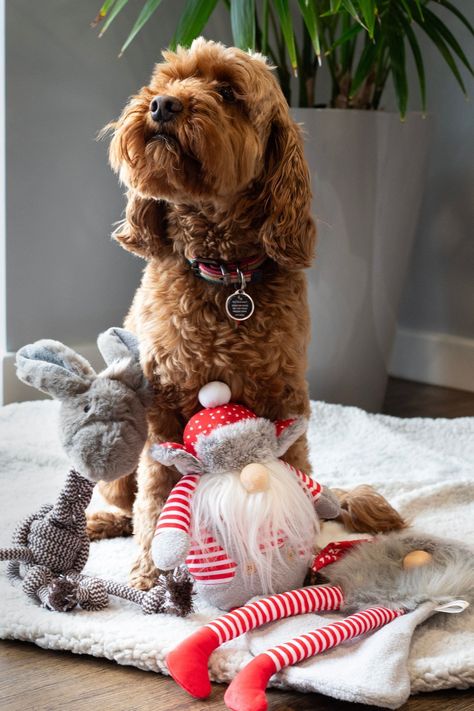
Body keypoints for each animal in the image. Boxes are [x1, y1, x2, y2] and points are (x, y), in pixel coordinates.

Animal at [89, 37, 318, 588]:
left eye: (228, 92)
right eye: (166, 82)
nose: (162, 105)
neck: (225, 273)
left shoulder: (286, 395)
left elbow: (296, 466)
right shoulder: (163, 406)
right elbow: (157, 493)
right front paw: (152, 573)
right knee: (122, 497)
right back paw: (103, 523)